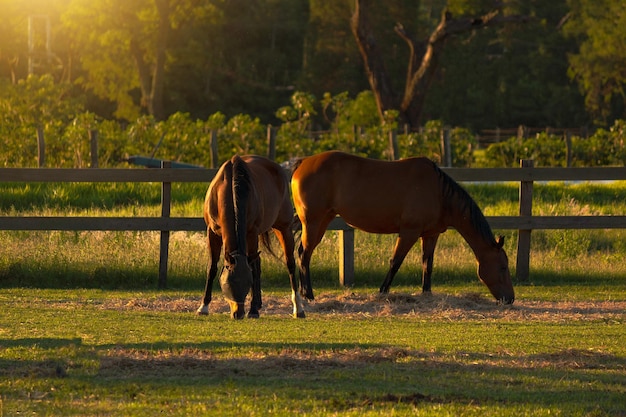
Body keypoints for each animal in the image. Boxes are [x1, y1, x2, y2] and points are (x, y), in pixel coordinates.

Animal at [194, 154, 304, 316]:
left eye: (247, 283)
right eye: (229, 283)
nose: (238, 314)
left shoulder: (251, 232)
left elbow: (253, 270)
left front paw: (252, 310)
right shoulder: (212, 233)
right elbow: (212, 267)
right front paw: (204, 307)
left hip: (283, 228)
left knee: (290, 263)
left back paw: (298, 308)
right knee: (257, 262)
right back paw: (258, 304)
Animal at [290, 150, 516, 306]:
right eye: (503, 267)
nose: (510, 299)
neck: (439, 193)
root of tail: (303, 163)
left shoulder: (430, 235)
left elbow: (427, 265)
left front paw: (426, 294)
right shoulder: (409, 233)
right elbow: (395, 262)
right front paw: (382, 292)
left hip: (322, 222)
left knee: (303, 254)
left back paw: (303, 293)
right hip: (314, 222)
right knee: (304, 254)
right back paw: (309, 295)